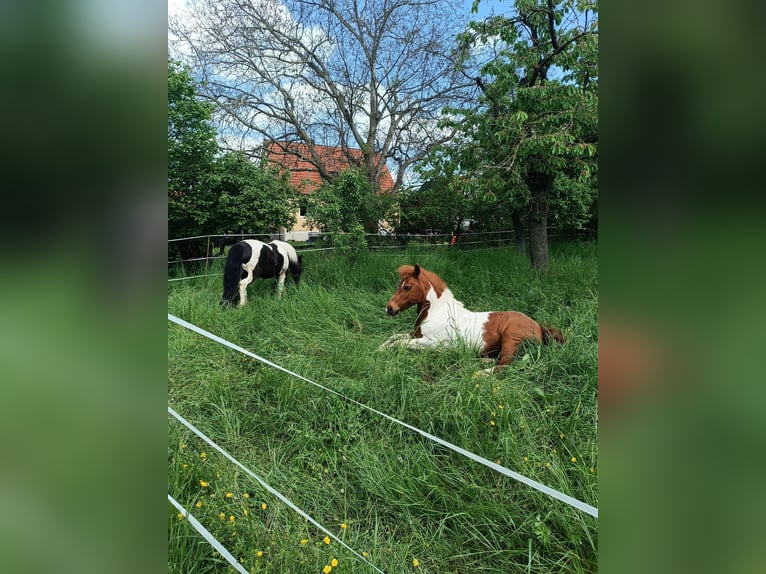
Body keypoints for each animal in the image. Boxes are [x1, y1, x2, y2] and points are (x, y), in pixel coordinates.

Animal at [378, 266, 564, 374]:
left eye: (407, 287)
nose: (389, 308)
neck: (438, 312)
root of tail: (538, 326)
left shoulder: (429, 343)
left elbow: (400, 343)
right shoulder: (416, 335)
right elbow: (394, 337)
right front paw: (379, 348)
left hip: (511, 339)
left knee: (506, 365)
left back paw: (479, 373)